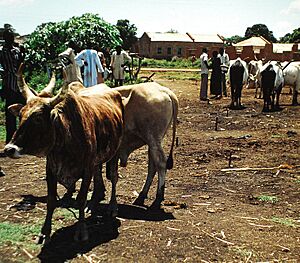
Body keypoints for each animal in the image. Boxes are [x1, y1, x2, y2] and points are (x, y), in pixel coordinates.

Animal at [3, 65, 123, 244]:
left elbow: (81, 198)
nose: (9, 149)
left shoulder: (86, 169)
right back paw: (93, 203)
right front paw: (44, 232)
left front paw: (81, 231)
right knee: (98, 176)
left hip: (115, 152)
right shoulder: (51, 170)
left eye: (38, 118)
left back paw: (113, 207)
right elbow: (51, 200)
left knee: (113, 178)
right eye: (21, 114)